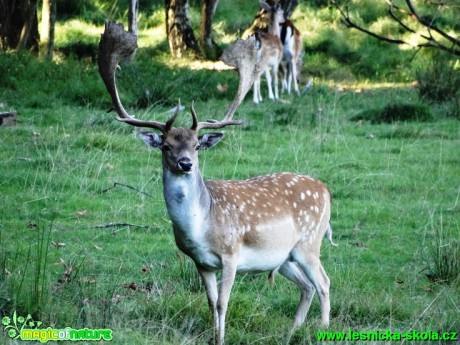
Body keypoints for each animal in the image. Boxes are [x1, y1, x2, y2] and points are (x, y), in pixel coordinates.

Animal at [99, 22, 332, 344]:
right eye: (166, 146)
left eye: (197, 145)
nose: (186, 164)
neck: (201, 228)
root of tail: (326, 191)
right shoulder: (200, 262)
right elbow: (210, 302)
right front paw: (214, 337)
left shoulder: (231, 254)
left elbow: (223, 302)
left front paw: (221, 338)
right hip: (284, 256)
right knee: (307, 286)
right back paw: (291, 332)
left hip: (310, 241)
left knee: (324, 282)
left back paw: (324, 329)